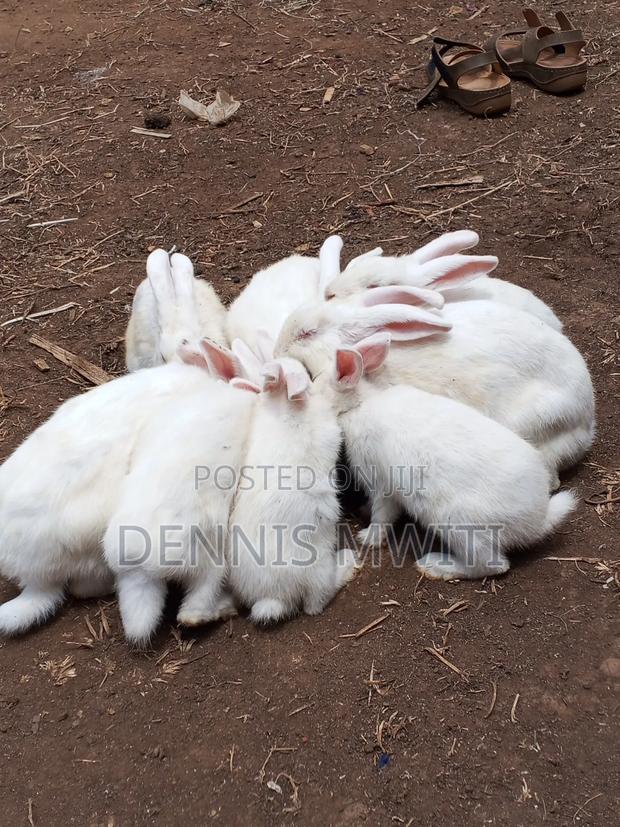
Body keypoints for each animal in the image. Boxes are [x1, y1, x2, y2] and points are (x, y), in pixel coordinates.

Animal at [227, 357, 357, 625]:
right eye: (305, 372)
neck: (284, 407)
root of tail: (273, 597)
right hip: (319, 570)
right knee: (316, 603)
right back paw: (347, 563)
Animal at [326, 334, 577, 580]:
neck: (360, 403)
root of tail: (537, 520)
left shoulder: (380, 482)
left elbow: (382, 515)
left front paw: (367, 538)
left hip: (460, 527)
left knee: (492, 565)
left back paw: (434, 566)